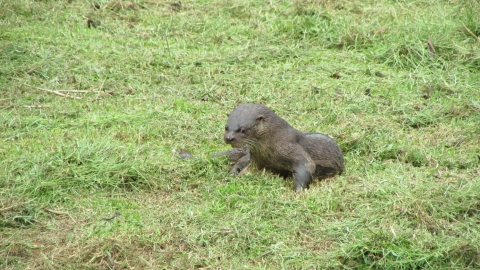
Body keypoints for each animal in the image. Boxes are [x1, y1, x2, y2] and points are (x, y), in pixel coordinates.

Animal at [213, 103, 342, 192]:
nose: (229, 138)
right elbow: (248, 169)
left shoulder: (290, 148)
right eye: (226, 127)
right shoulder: (257, 160)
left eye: (242, 130)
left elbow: (307, 164)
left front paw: (299, 191)